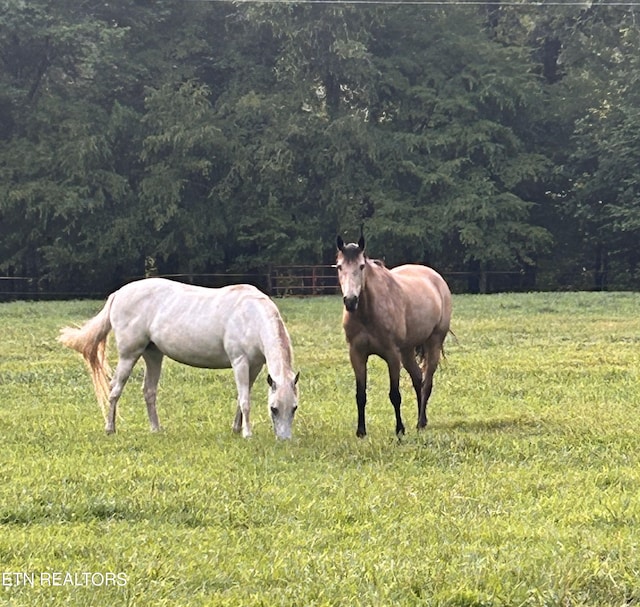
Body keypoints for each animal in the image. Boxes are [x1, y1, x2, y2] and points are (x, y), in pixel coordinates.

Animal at [58, 278, 298, 440]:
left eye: (294, 408)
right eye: (274, 408)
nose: (284, 440)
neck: (250, 315)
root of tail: (118, 293)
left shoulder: (255, 366)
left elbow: (242, 397)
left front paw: (236, 428)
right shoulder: (239, 362)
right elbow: (245, 400)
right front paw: (247, 434)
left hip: (153, 355)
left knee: (149, 391)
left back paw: (155, 429)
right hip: (129, 355)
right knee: (114, 389)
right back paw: (110, 428)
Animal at [336, 235, 450, 440]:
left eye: (361, 266)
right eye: (340, 267)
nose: (350, 301)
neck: (368, 312)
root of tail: (436, 279)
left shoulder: (392, 355)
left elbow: (395, 395)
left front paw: (399, 430)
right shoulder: (357, 354)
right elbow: (360, 395)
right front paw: (361, 431)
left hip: (433, 343)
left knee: (427, 383)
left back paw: (421, 422)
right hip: (407, 351)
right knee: (418, 379)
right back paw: (420, 420)